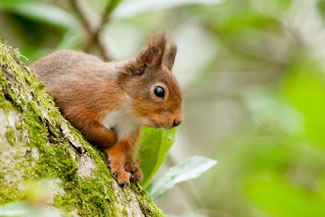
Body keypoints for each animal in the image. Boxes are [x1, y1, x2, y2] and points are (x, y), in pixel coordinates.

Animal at [29, 31, 182, 187]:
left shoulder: (130, 128)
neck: (125, 108)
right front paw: (111, 137)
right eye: (159, 91)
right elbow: (85, 122)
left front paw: (120, 170)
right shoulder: (80, 97)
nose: (177, 121)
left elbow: (120, 150)